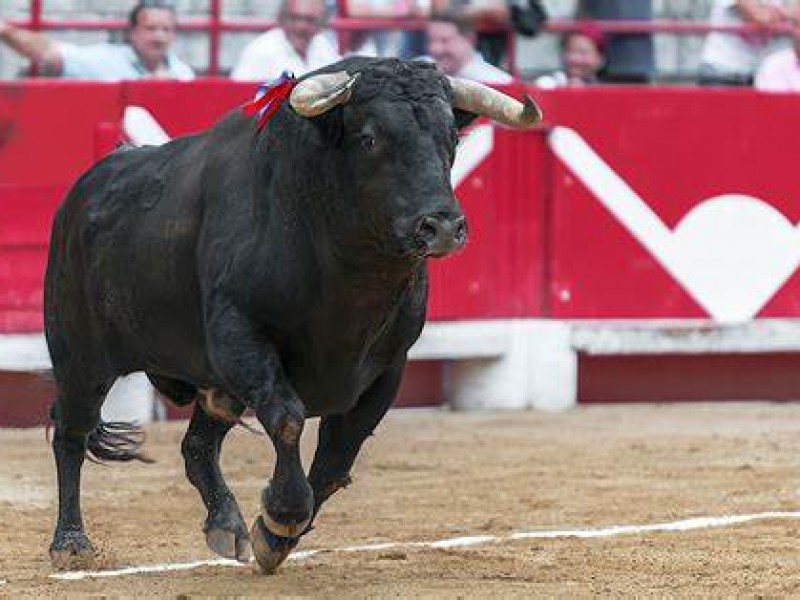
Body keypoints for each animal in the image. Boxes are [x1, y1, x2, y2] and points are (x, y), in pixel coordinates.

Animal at [45, 58, 544, 576]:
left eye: (452, 138)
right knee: (71, 433)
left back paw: (226, 524)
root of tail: (86, 189)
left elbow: (338, 456)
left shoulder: (388, 366)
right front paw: (283, 516)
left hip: (211, 381)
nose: (442, 225)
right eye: (369, 138)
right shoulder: (241, 336)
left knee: (198, 443)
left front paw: (274, 535)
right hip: (80, 356)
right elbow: (287, 419)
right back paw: (71, 542)